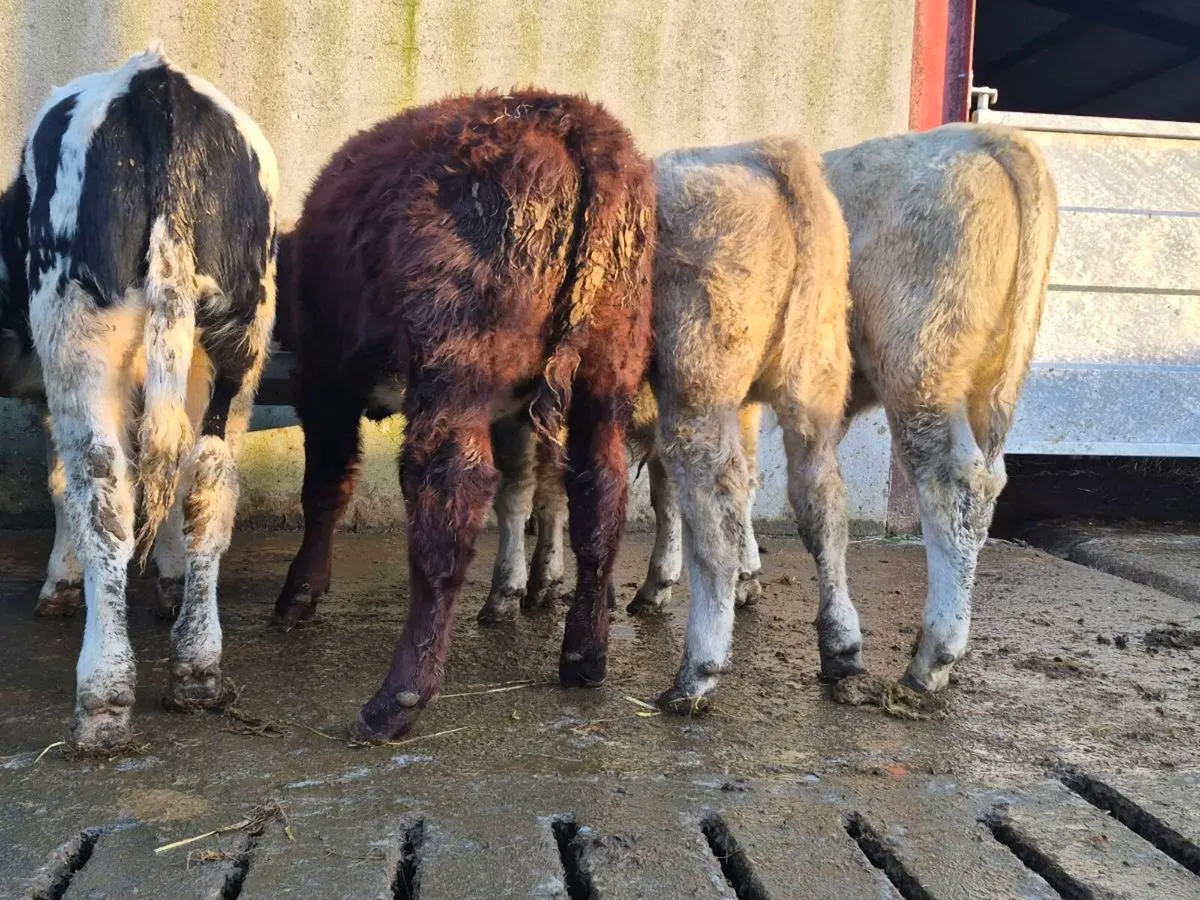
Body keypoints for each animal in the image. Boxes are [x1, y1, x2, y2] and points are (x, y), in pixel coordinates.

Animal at [0, 43, 279, 750]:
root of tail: (154, 84)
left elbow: (60, 482)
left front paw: (61, 582)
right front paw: (171, 581)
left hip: (78, 336)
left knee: (103, 490)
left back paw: (103, 700)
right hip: (238, 339)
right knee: (205, 481)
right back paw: (196, 671)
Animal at [272, 91, 654, 742]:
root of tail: (567, 117)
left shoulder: (323, 383)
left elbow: (325, 486)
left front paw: (300, 593)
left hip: (454, 378)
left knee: (448, 497)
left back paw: (396, 700)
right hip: (607, 380)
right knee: (599, 499)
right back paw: (584, 655)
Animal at [485, 123, 1058, 708]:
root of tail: (986, 137)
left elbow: (539, 492)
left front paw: (532, 584)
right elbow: (692, 493)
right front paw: (720, 578)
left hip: (913, 372)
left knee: (949, 486)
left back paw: (924, 657)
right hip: (900, 388)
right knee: (835, 497)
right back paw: (848, 646)